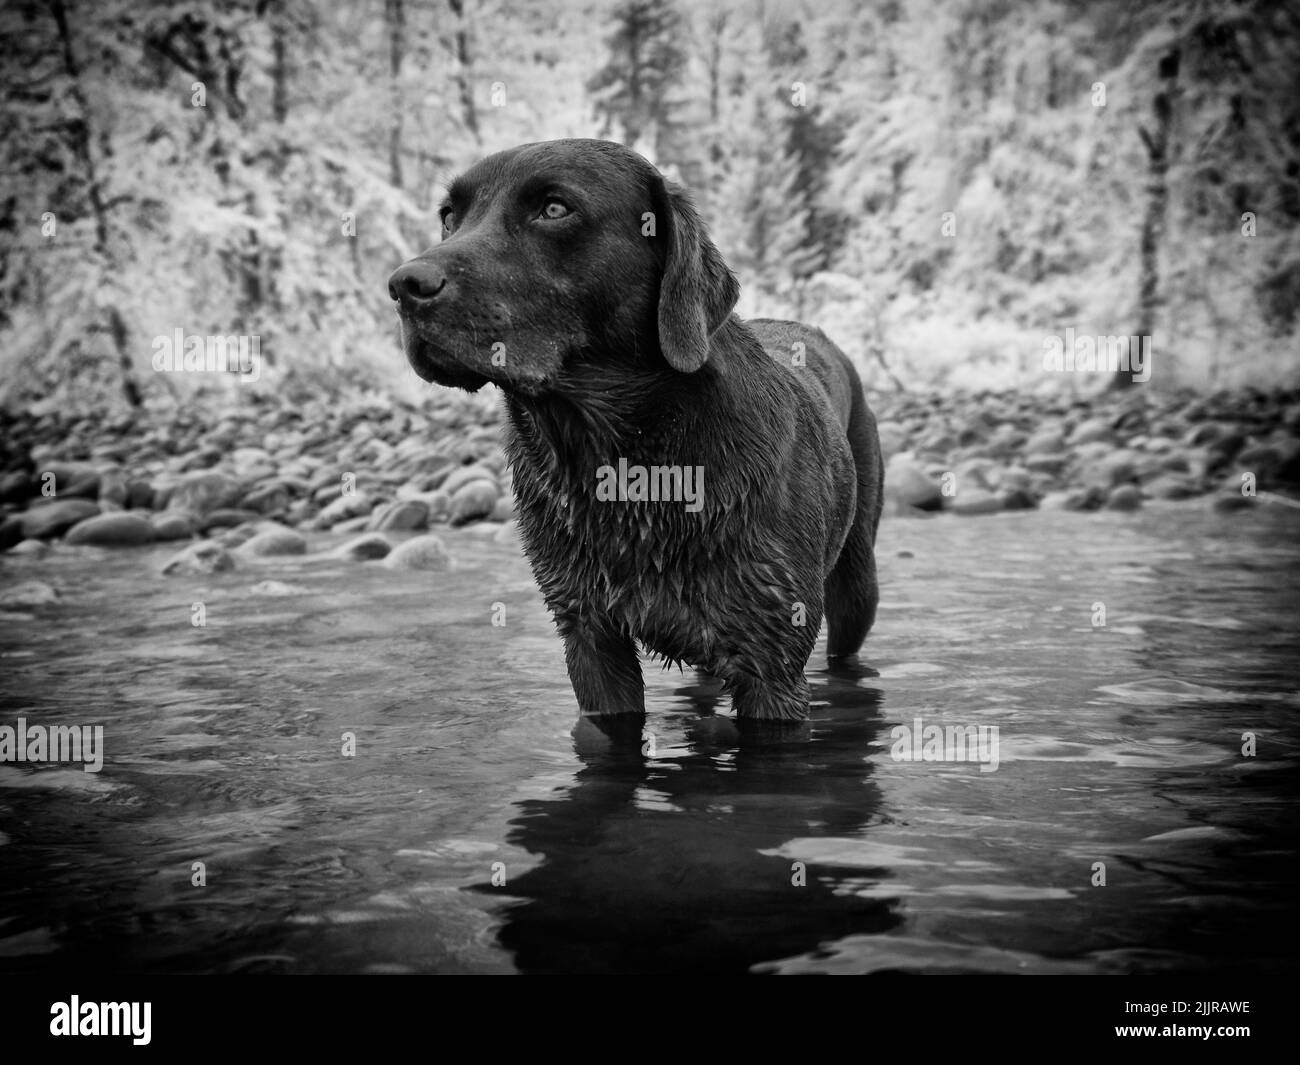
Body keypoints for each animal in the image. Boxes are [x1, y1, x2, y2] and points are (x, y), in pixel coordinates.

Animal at [384, 141, 883, 723]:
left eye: (554, 208)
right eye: (448, 217)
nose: (404, 285)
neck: (627, 464)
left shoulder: (773, 663)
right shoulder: (588, 636)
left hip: (856, 586)